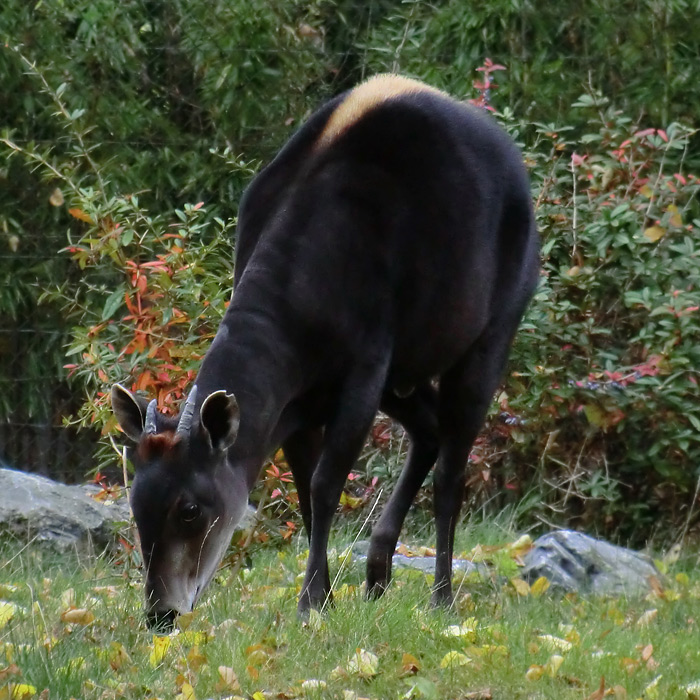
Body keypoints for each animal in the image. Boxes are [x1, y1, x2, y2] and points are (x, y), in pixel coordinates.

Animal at [112, 74, 540, 632]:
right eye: (136, 504)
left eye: (189, 509)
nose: (160, 612)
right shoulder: (298, 398)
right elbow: (303, 488)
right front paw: (329, 596)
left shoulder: (363, 371)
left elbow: (324, 484)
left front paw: (311, 601)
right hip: (403, 374)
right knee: (428, 432)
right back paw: (377, 572)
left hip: (490, 333)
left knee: (452, 469)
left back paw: (442, 598)